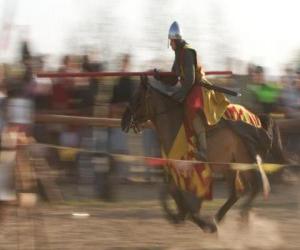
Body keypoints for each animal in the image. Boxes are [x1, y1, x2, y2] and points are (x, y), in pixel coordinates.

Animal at [121, 76, 288, 232]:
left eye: (137, 98)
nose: (124, 121)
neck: (175, 126)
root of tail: (257, 118)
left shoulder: (190, 172)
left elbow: (183, 198)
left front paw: (192, 218)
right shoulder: (176, 171)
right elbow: (168, 192)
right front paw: (178, 216)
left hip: (246, 160)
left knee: (255, 186)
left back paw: (237, 218)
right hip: (230, 166)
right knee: (237, 192)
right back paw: (218, 219)